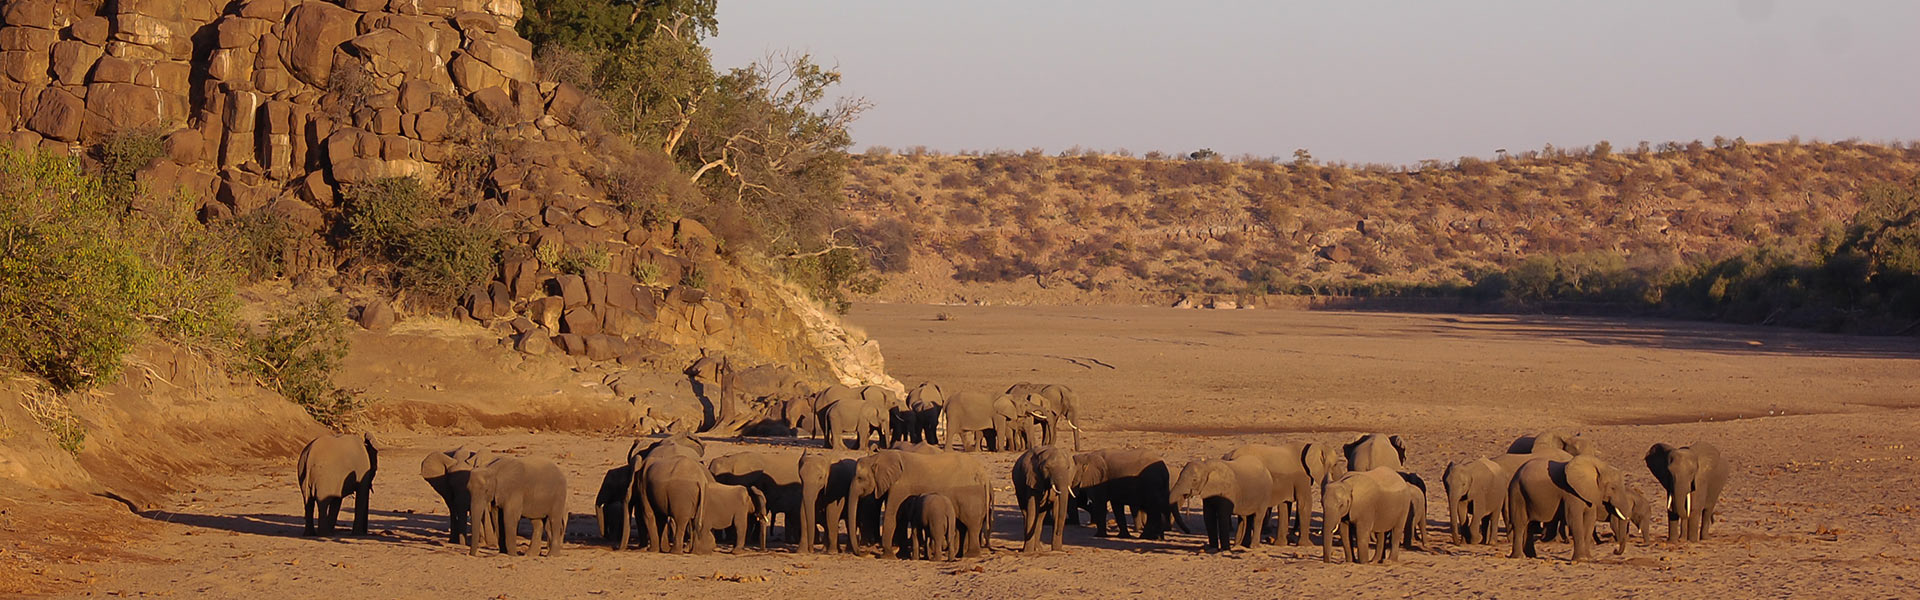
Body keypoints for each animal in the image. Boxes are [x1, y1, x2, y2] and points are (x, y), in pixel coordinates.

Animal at [852, 448, 990, 561]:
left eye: (859, 478)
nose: (864, 552)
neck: (877, 457)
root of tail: (984, 476)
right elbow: (900, 518)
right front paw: (902, 555)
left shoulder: (899, 487)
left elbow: (892, 516)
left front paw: (888, 557)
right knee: (963, 527)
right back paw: (959, 556)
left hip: (971, 498)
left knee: (971, 526)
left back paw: (970, 555)